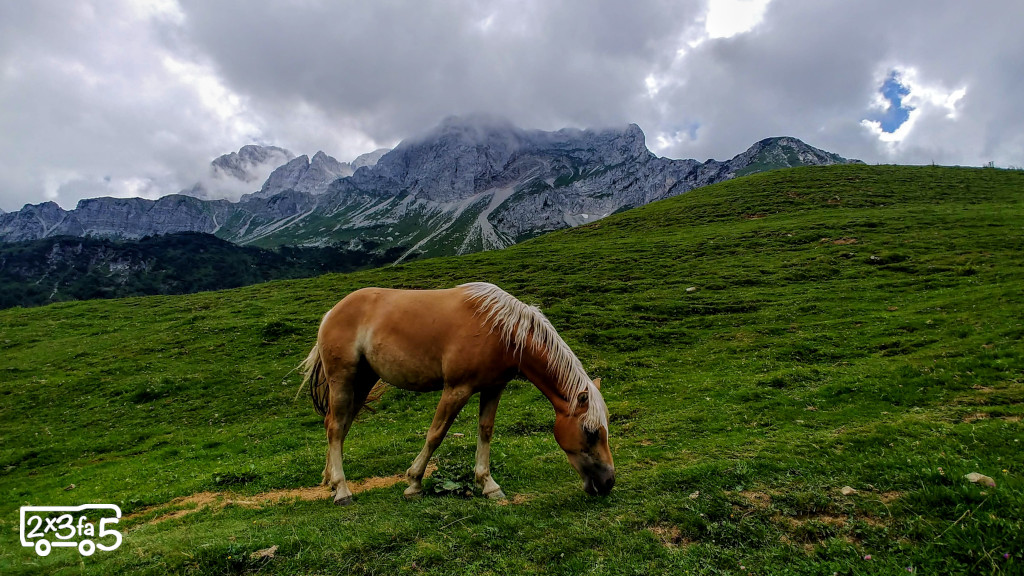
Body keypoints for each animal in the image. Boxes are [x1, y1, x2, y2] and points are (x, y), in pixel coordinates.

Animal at [299, 282, 614, 505]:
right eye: (590, 432)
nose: (608, 482)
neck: (501, 329)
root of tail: (331, 313)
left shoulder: (493, 388)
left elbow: (485, 431)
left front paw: (488, 484)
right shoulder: (457, 389)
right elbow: (436, 434)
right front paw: (414, 482)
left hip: (361, 382)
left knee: (338, 425)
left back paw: (330, 480)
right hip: (343, 379)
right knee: (336, 427)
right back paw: (342, 491)